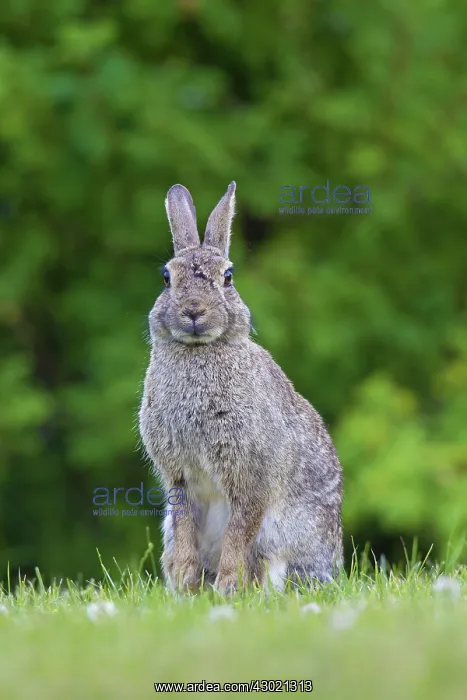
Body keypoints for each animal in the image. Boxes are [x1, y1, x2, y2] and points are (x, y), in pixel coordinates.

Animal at [139, 182, 343, 595]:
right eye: (167, 277)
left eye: (228, 276)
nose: (194, 310)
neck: (199, 351)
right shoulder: (179, 478)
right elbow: (185, 528)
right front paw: (186, 582)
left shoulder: (249, 475)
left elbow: (238, 529)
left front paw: (227, 588)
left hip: (279, 538)